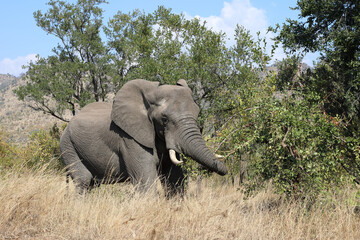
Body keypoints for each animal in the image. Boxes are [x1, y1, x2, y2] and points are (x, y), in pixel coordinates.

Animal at [60, 79, 226, 197]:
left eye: (197, 113)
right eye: (164, 119)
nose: (225, 169)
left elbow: (174, 178)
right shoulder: (130, 139)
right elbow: (145, 185)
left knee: (92, 183)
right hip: (68, 145)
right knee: (84, 180)